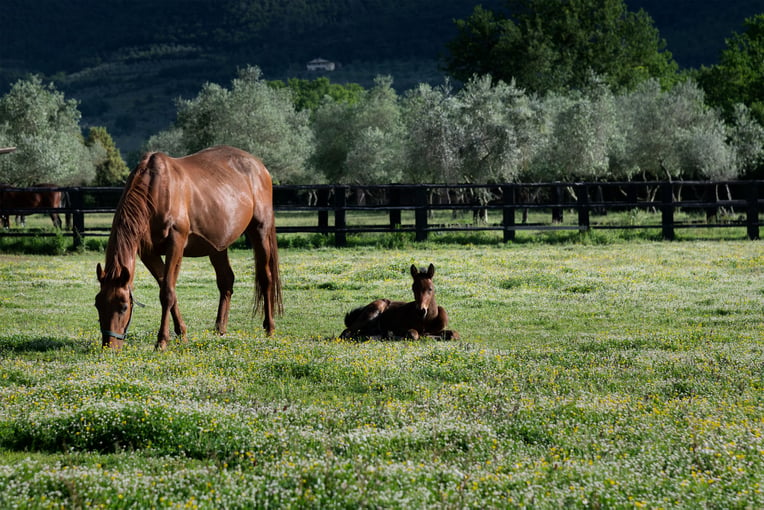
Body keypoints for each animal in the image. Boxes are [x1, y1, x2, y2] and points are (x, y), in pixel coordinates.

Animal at [95, 145, 284, 348]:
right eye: (97, 304)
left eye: (124, 306)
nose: (109, 346)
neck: (156, 189)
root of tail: (259, 166)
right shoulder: (148, 253)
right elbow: (169, 289)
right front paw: (181, 333)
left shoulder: (176, 243)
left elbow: (167, 292)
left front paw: (162, 341)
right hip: (217, 247)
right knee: (226, 280)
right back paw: (220, 329)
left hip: (260, 231)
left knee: (266, 278)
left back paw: (269, 328)